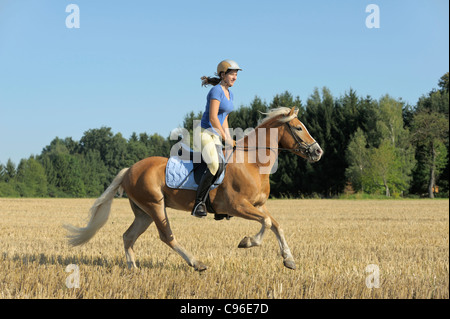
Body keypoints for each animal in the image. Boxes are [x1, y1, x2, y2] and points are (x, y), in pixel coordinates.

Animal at [64, 107, 324, 272]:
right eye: (298, 128)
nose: (318, 151)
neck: (253, 162)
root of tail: (129, 170)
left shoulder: (258, 205)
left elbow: (276, 224)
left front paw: (289, 260)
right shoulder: (236, 205)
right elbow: (267, 224)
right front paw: (247, 242)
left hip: (143, 212)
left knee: (128, 236)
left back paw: (133, 269)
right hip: (155, 206)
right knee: (166, 236)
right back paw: (196, 263)